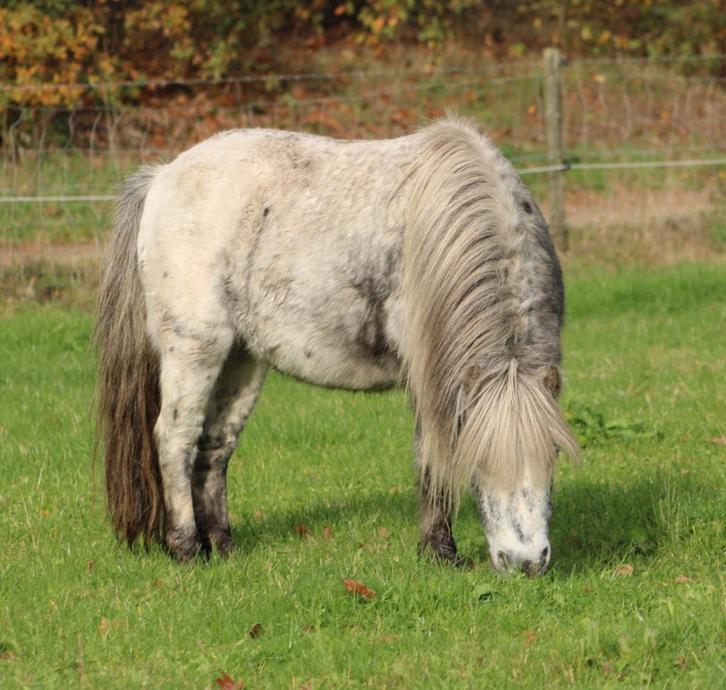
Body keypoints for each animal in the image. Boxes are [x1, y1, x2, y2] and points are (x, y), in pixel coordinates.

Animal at [95, 116, 579, 575]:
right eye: (478, 455)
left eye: (553, 453)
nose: (526, 562)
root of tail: (162, 176)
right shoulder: (428, 379)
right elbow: (430, 458)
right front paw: (440, 552)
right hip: (195, 350)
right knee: (175, 438)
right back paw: (187, 549)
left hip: (241, 359)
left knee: (216, 445)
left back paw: (222, 544)